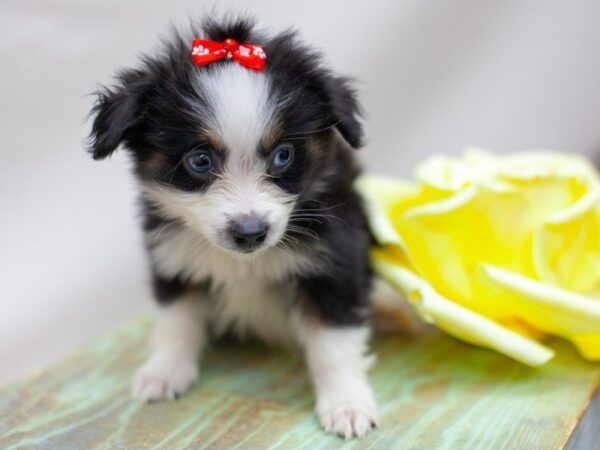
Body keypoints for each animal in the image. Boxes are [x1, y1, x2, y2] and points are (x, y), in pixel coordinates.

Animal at [86, 16, 378, 436]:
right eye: (200, 161)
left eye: (283, 155)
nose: (250, 233)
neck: (243, 263)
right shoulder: (174, 258)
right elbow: (176, 320)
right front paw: (164, 372)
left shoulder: (335, 261)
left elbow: (333, 341)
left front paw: (346, 403)